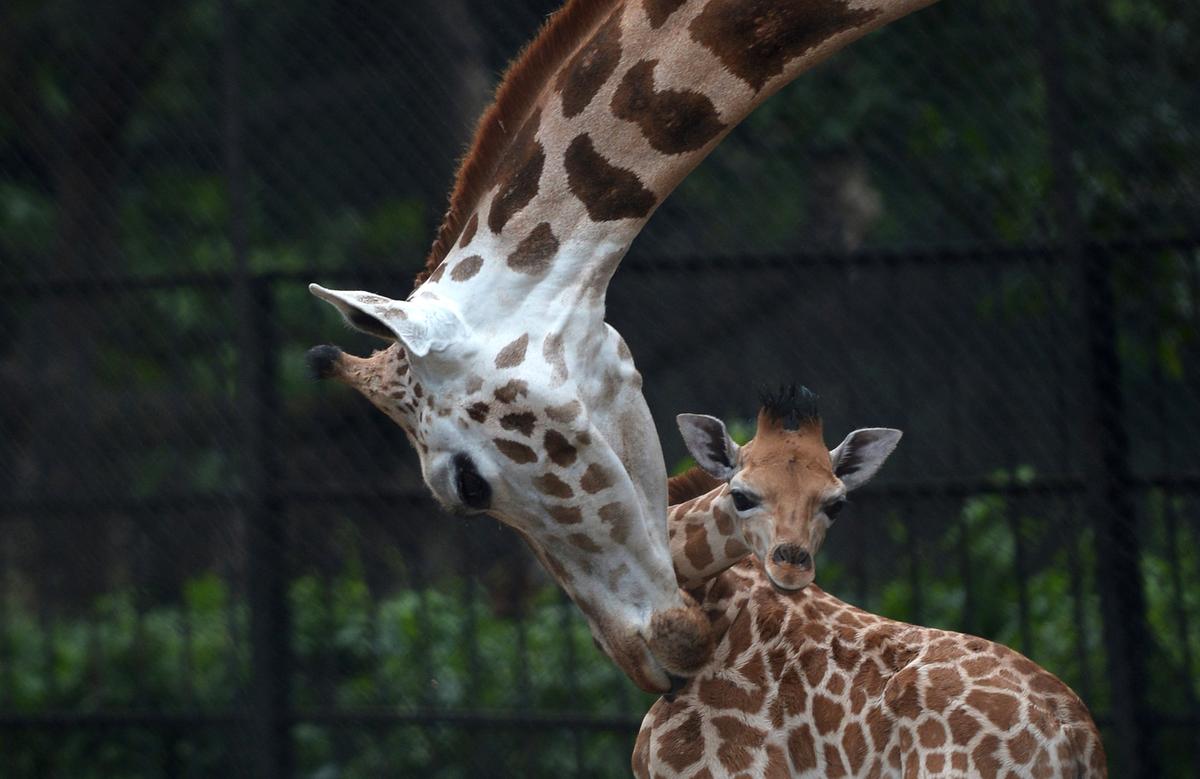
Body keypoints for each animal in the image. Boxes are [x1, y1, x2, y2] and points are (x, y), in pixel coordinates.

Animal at [633, 388, 1106, 777]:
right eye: (742, 496)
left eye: (836, 504)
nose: (791, 567)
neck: (716, 606)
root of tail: (1077, 736)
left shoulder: (720, 770)